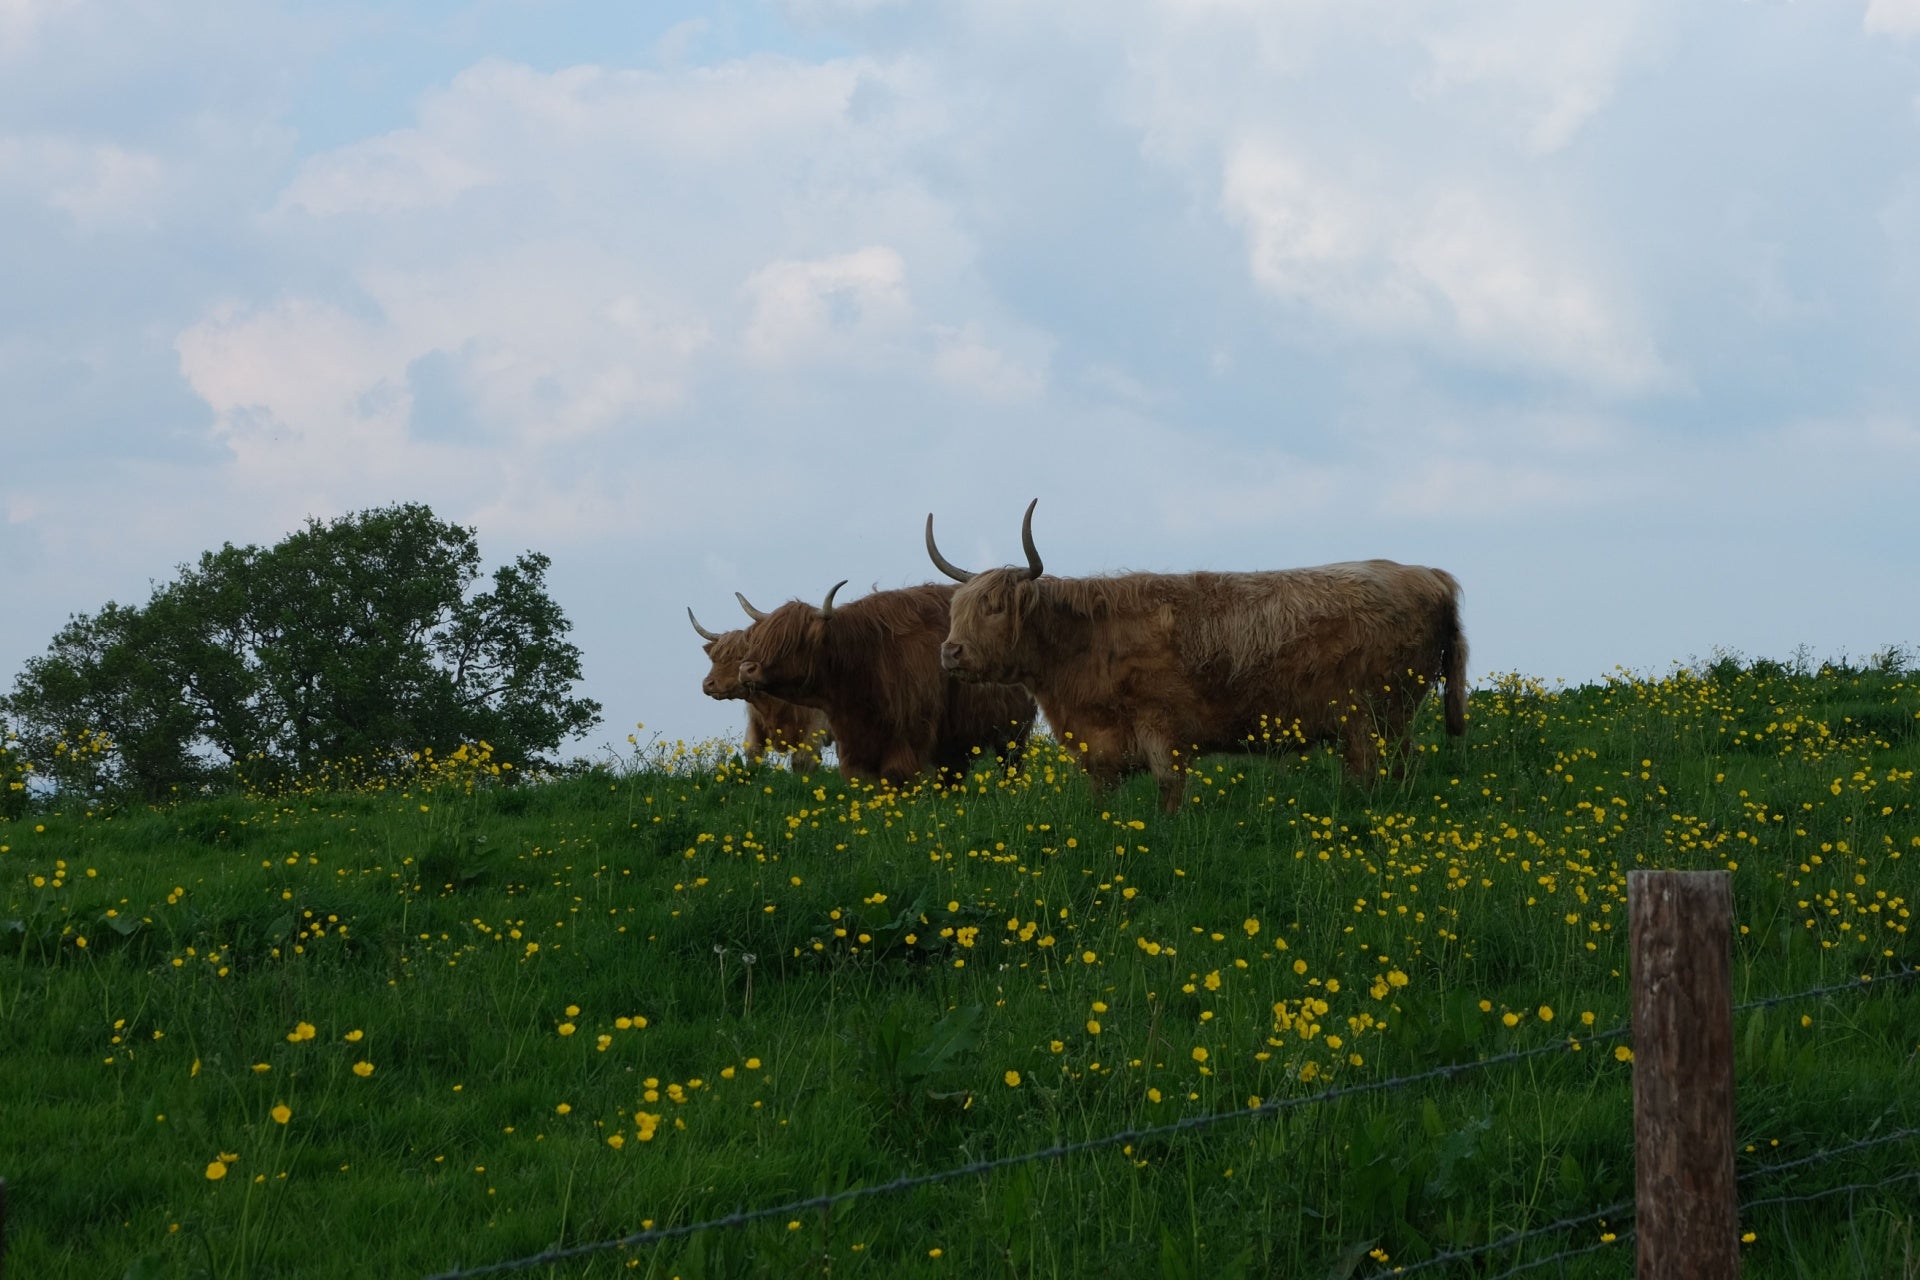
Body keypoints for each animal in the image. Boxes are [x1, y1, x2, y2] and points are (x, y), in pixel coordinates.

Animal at [929, 498, 1466, 809]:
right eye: (955, 609)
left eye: (995, 608)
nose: (950, 651)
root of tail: (1428, 573)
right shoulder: (1102, 746)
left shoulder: (1160, 724)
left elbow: (1169, 790)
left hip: (1377, 715)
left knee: (1381, 768)